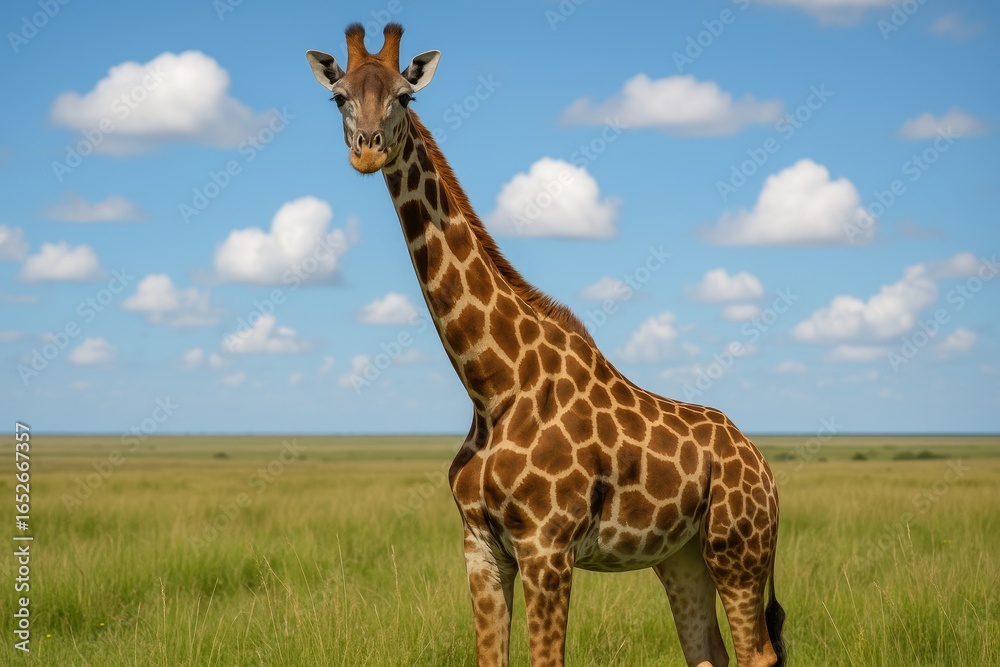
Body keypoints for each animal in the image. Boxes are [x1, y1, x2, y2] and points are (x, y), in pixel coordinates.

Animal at [306, 23, 786, 667]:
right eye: (339, 97)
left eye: (405, 97)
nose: (367, 149)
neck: (491, 386)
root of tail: (765, 466)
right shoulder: (481, 548)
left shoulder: (546, 548)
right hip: (681, 557)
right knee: (707, 652)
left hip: (738, 551)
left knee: (759, 652)